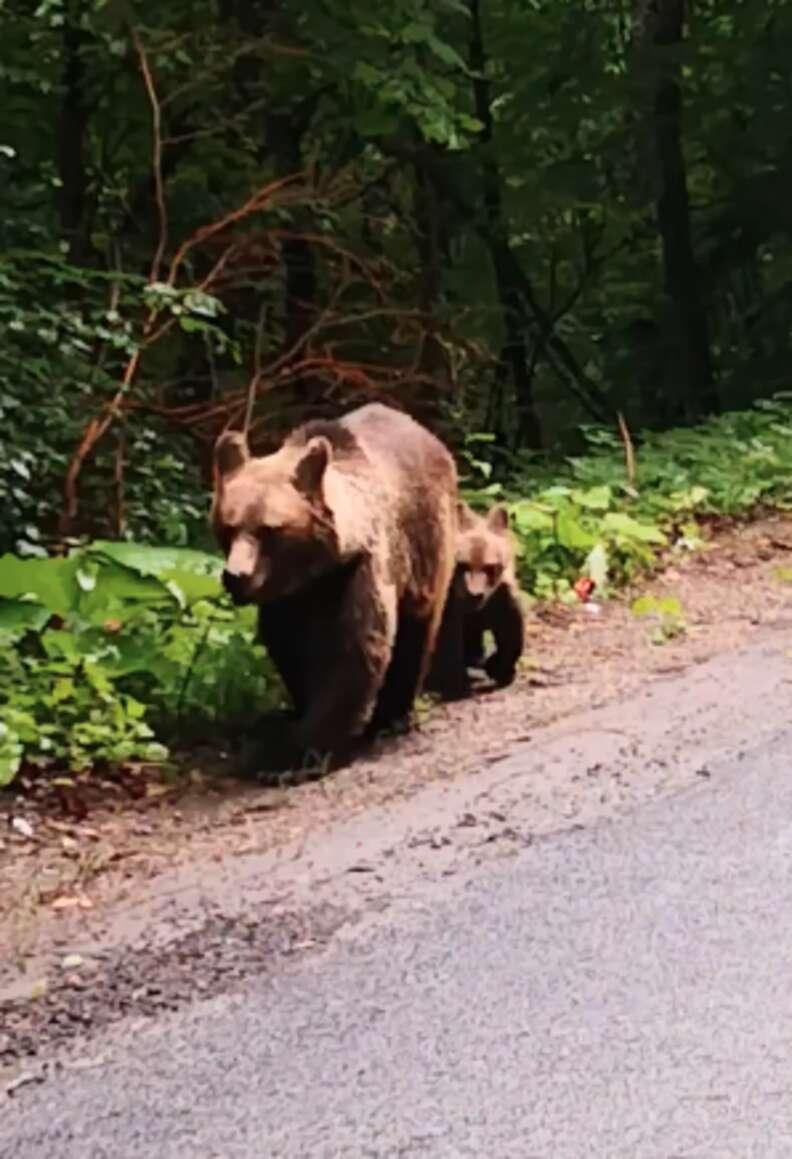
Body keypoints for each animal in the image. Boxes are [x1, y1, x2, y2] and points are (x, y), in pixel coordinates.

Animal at [208, 403, 459, 764]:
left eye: (269, 529)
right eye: (228, 527)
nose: (236, 576)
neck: (316, 572)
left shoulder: (360, 569)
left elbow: (356, 650)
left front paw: (301, 749)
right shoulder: (288, 599)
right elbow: (289, 647)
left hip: (427, 544)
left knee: (417, 629)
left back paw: (391, 718)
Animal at [426, 500, 526, 695]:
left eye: (489, 566)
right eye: (463, 564)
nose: (475, 593)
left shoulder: (503, 599)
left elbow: (511, 634)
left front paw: (500, 668)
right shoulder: (451, 607)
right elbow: (448, 644)